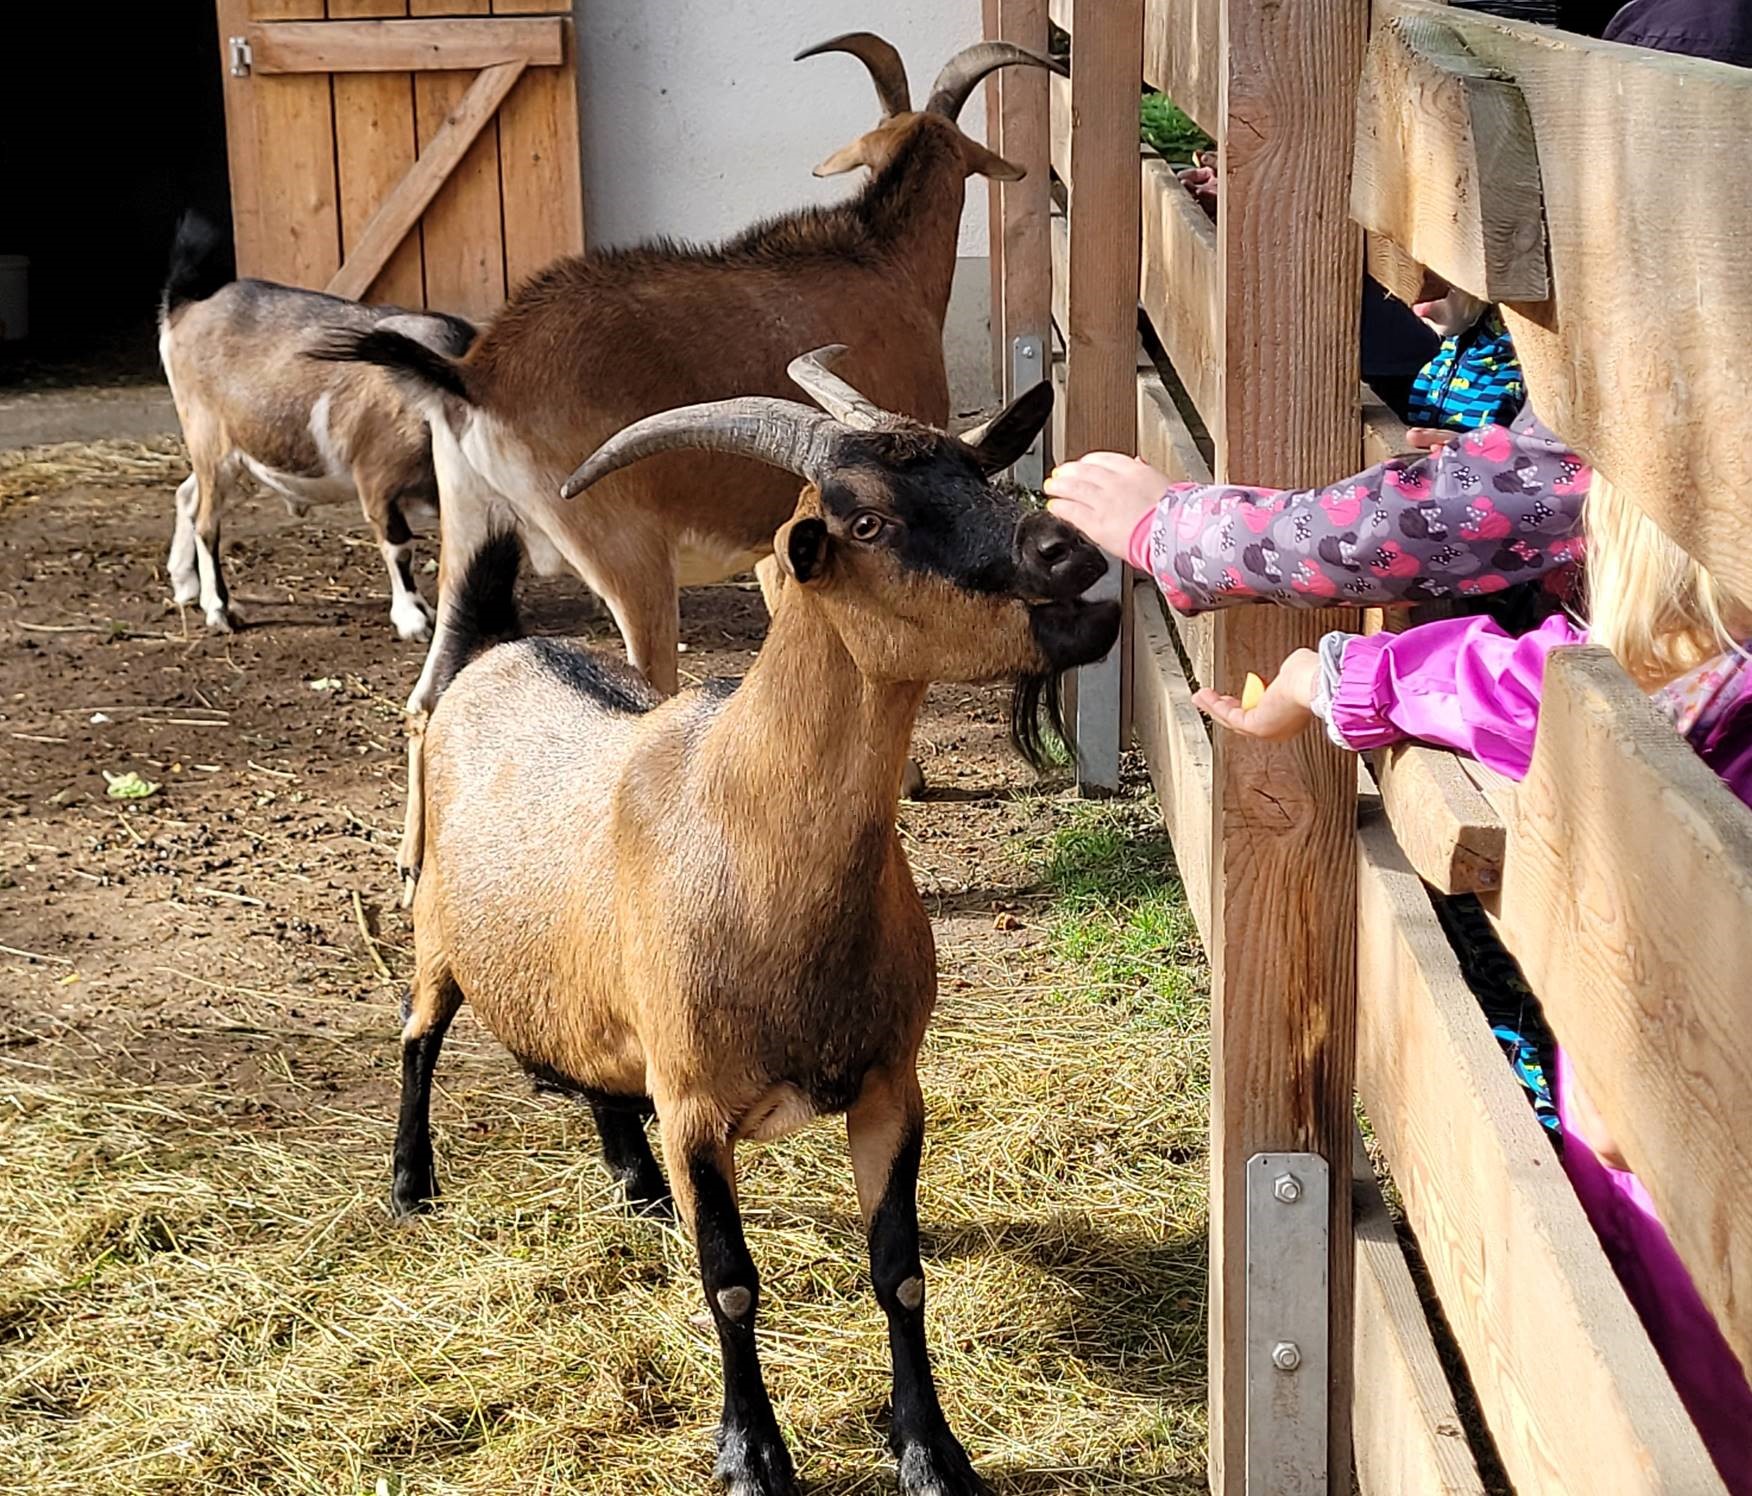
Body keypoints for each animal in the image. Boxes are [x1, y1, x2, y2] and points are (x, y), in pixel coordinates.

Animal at [394, 353, 1121, 1496]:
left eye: (976, 469)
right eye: (865, 519)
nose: (1070, 549)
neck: (740, 824)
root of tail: (503, 647)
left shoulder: (888, 1082)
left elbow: (900, 1271)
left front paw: (931, 1449)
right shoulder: (697, 1103)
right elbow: (730, 1281)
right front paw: (752, 1453)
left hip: (594, 992)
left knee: (594, 1063)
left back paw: (634, 1185)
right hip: (434, 928)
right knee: (419, 1032)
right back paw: (411, 1183)